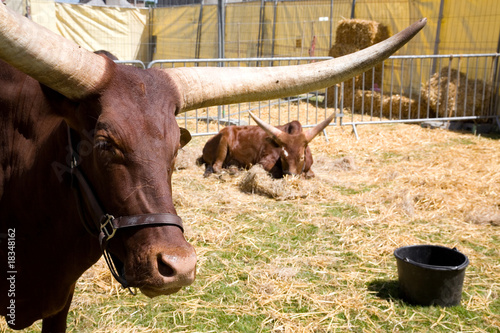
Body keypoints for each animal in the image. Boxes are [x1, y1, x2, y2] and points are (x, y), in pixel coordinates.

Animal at [197, 111, 334, 179]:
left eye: (301, 157)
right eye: (282, 157)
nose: (290, 177)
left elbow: (311, 174)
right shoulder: (263, 162)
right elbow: (276, 172)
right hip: (224, 139)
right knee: (216, 166)